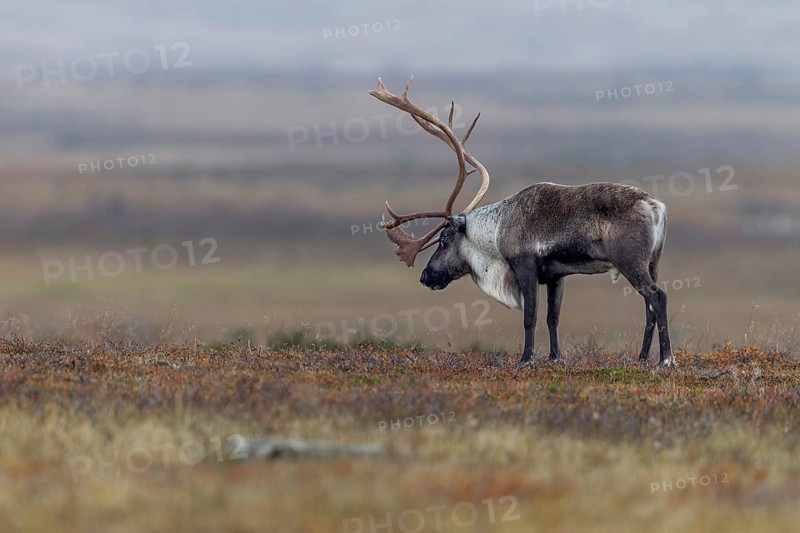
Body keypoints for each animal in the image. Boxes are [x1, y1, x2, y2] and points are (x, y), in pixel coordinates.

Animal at [371, 77, 675, 368]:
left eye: (444, 241)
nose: (426, 276)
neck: (497, 230)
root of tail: (654, 206)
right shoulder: (556, 276)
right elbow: (553, 317)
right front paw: (554, 357)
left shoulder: (524, 266)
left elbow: (530, 317)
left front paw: (526, 359)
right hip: (654, 261)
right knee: (648, 306)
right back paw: (642, 358)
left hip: (630, 261)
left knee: (658, 297)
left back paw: (666, 359)